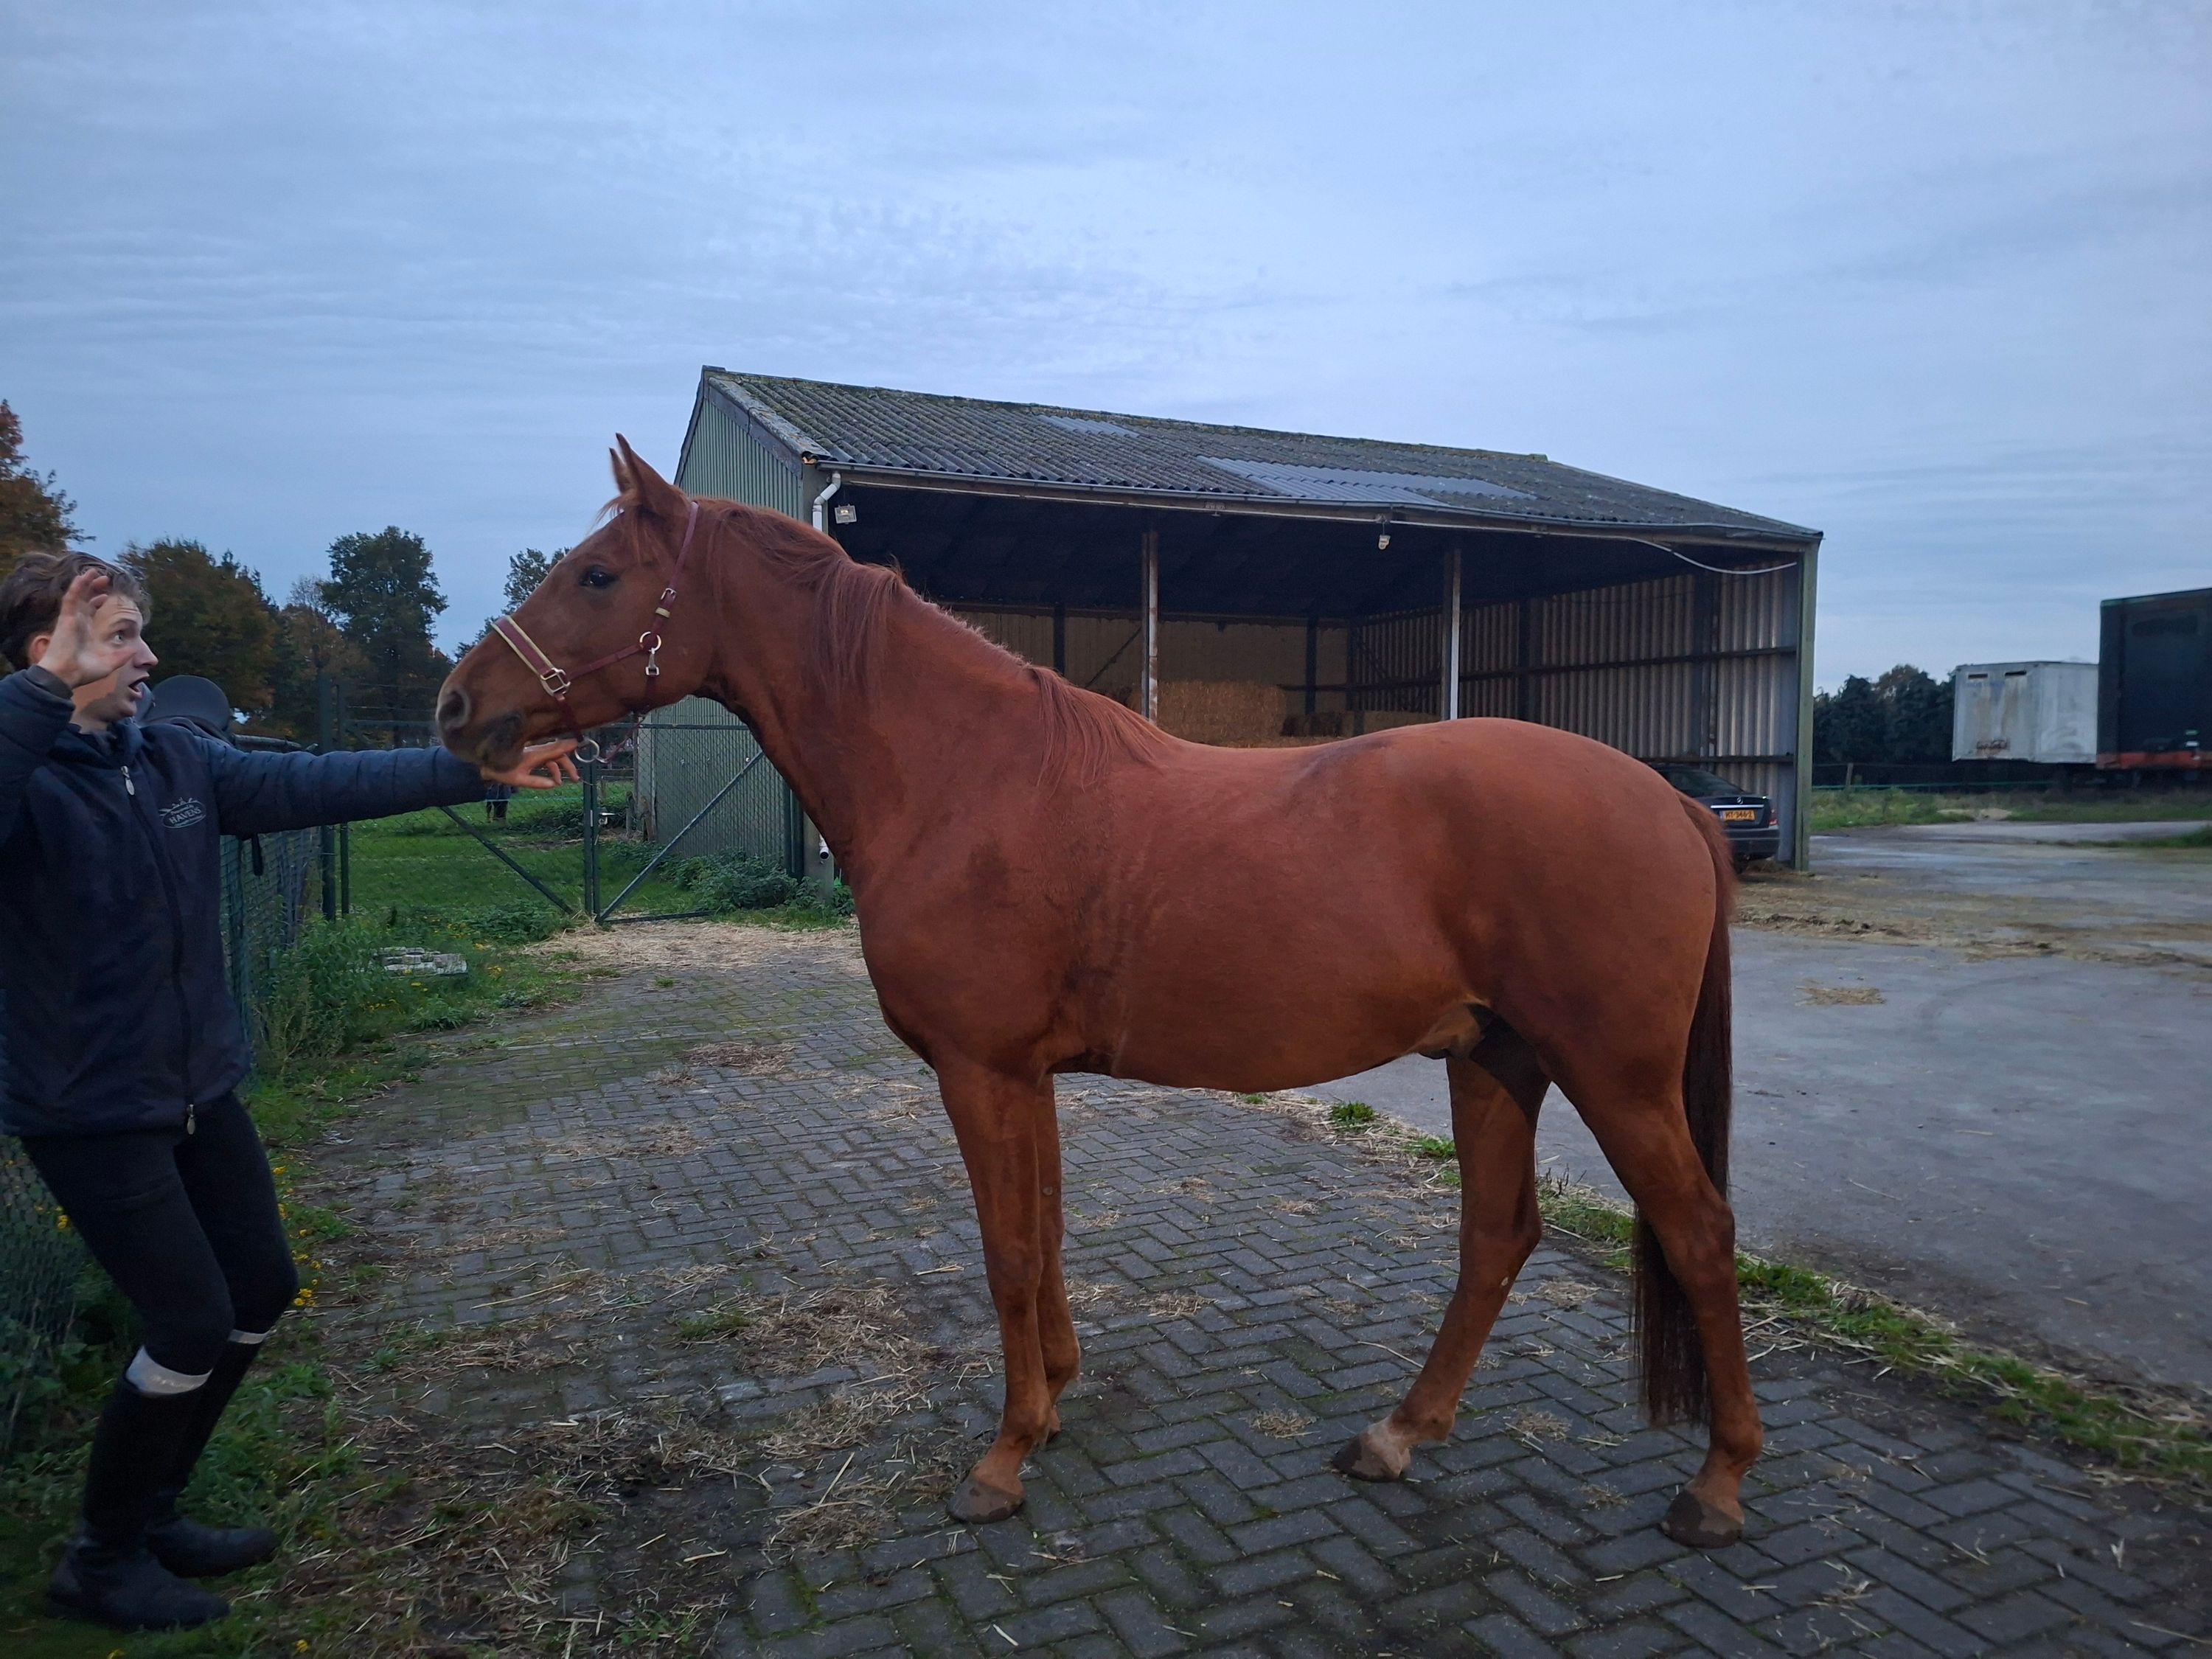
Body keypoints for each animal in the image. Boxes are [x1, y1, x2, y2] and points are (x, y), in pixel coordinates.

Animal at [435, 440, 1760, 1549]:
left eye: (599, 574)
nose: (460, 709)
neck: (964, 778)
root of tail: (1674, 799)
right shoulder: (1024, 1076)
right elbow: (1049, 1231)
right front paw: (1056, 1402)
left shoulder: (979, 1071)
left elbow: (1009, 1250)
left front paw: (1003, 1459)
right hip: (1495, 1059)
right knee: (1496, 1237)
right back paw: (1396, 1435)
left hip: (1615, 1078)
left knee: (1699, 1235)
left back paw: (1717, 1485)